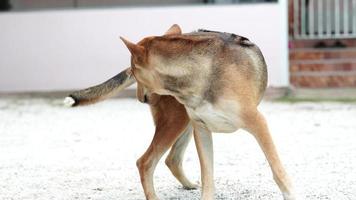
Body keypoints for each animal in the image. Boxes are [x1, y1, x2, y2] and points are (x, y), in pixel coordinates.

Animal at [64, 24, 294, 199]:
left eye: (136, 73)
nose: (141, 98)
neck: (197, 74)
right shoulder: (202, 129)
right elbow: (208, 178)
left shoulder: (257, 123)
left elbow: (279, 172)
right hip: (177, 123)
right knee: (146, 162)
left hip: (183, 124)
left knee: (170, 159)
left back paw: (188, 185)